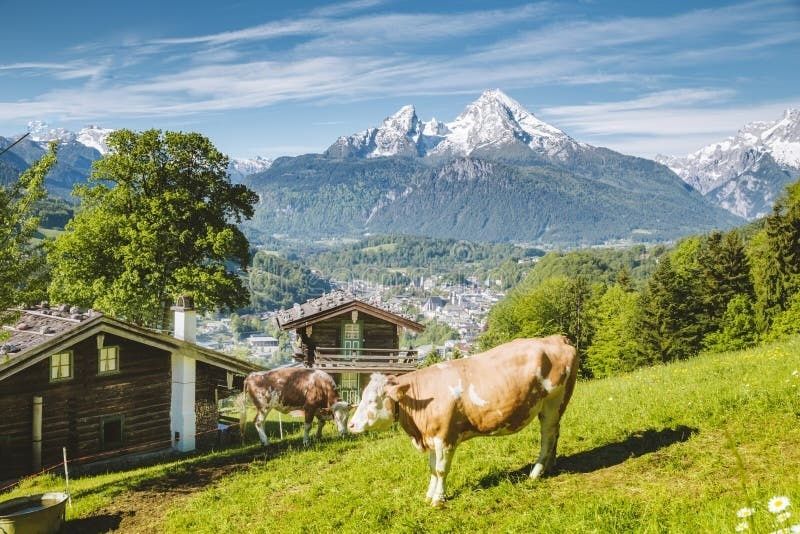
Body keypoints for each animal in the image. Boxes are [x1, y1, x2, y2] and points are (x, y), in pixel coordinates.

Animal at [347, 335, 578, 507]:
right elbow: (432, 468)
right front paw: (429, 495)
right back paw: (550, 466)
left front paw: (438, 500)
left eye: (371, 400)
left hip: (553, 403)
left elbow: (441, 470)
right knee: (555, 433)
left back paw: (536, 472)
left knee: (547, 437)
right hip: (553, 408)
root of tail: (556, 338)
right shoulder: (432, 437)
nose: (350, 425)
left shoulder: (445, 438)